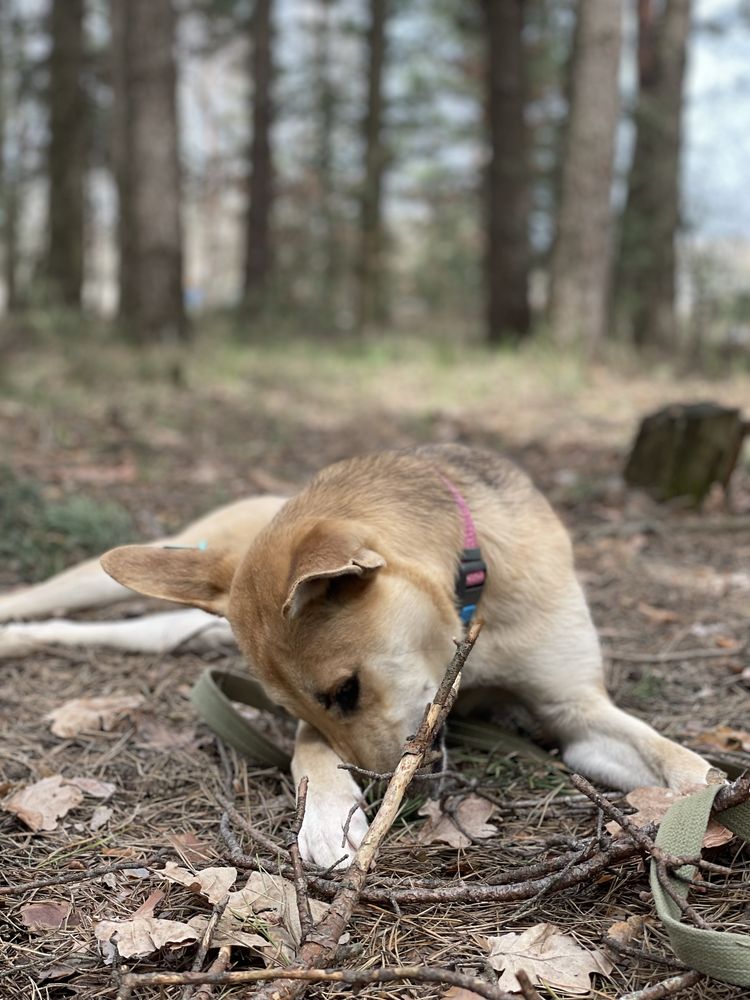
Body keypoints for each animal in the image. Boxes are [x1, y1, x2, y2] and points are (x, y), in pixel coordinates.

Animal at [0, 446, 712, 868]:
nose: (381, 787)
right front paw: (329, 817)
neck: (469, 603)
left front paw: (703, 804)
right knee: (44, 595)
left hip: (185, 622)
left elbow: (683, 764)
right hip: (143, 566)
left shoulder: (575, 710)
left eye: (347, 689)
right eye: (315, 702)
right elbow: (307, 751)